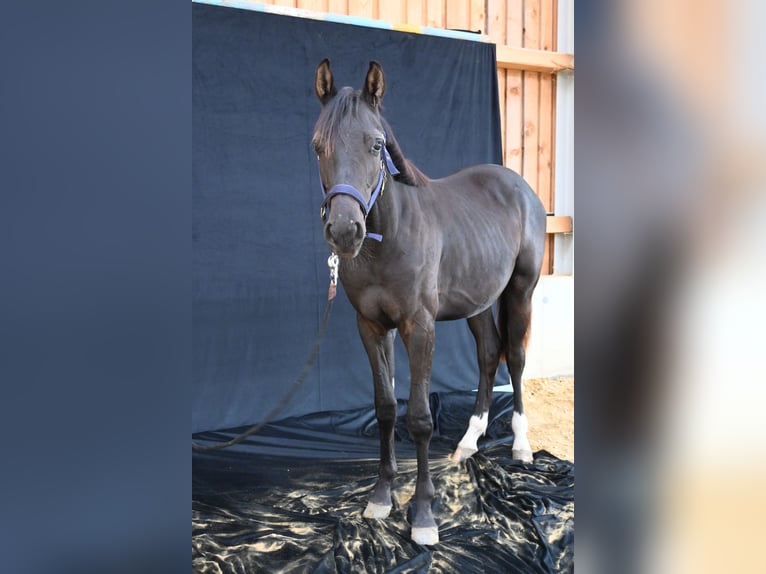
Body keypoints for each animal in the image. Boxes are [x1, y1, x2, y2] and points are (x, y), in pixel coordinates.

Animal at [316, 59, 548, 548]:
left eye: (376, 144)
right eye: (317, 146)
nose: (344, 231)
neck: (388, 237)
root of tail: (519, 187)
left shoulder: (418, 327)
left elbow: (420, 418)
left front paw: (423, 514)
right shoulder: (371, 326)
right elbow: (386, 408)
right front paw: (381, 496)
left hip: (519, 292)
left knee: (515, 359)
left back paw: (520, 445)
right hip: (479, 302)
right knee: (488, 355)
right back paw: (469, 442)